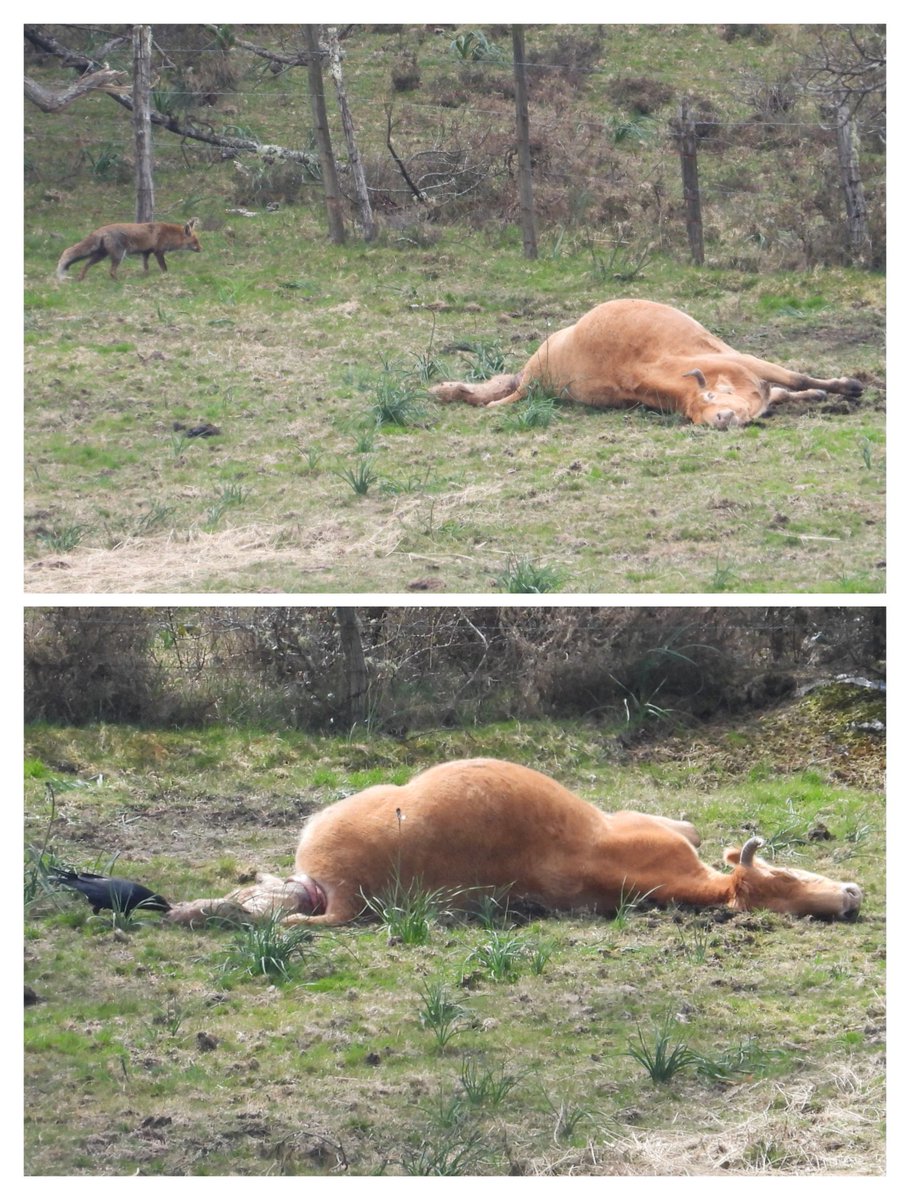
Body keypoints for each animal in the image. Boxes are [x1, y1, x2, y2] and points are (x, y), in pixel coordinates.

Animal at [55, 218, 201, 281]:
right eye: (195, 242)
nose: (201, 249)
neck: (169, 235)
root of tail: (100, 229)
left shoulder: (145, 253)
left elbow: (146, 267)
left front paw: (145, 276)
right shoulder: (158, 252)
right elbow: (164, 267)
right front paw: (166, 276)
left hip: (100, 255)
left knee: (86, 264)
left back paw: (80, 278)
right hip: (118, 255)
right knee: (111, 271)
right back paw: (119, 281)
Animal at [430, 299, 864, 429]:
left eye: (711, 396)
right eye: (695, 412)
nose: (719, 420)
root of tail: (530, 381)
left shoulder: (751, 365)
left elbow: (797, 382)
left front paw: (847, 389)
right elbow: (797, 381)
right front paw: (849, 388)